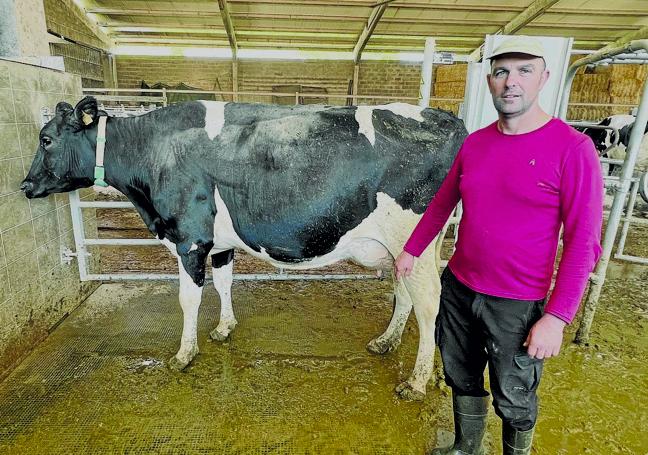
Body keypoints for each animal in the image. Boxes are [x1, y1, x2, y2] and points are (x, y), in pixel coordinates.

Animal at [20, 95, 466, 400]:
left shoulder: (190, 238)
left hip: (413, 239)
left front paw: (184, 354)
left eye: (46, 139)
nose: (24, 185)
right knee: (404, 293)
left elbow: (188, 299)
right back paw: (385, 342)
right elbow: (224, 284)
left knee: (429, 303)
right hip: (404, 250)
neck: (154, 153)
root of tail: (447, 118)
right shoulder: (218, 243)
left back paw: (416, 382)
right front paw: (224, 327)